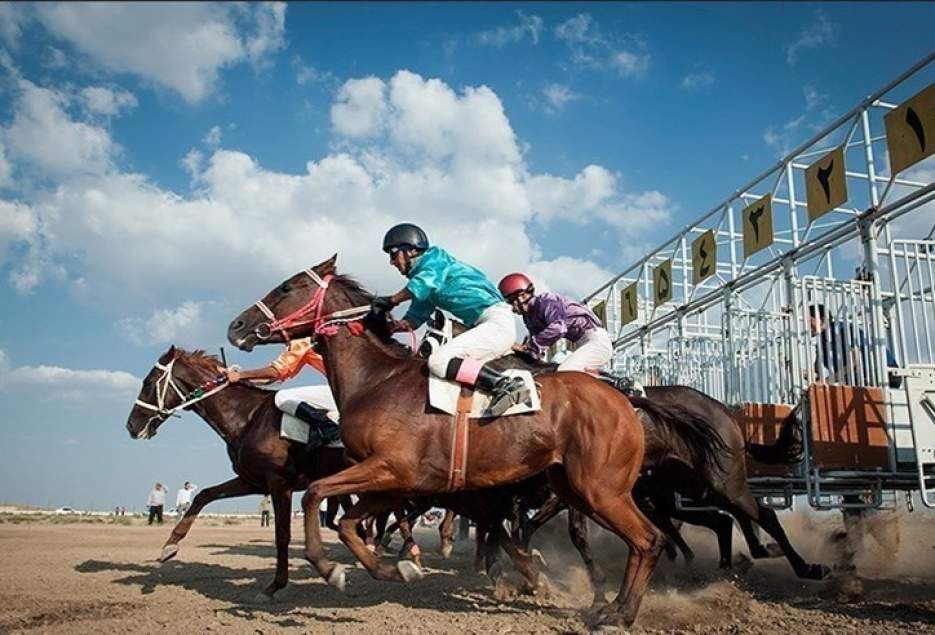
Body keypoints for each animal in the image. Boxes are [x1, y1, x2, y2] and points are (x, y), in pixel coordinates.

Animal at [225, 256, 708, 628]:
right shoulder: (396, 483)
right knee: (638, 541)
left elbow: (316, 497)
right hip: (576, 488)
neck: (377, 381)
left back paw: (620, 614)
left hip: (600, 489)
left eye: (287, 286)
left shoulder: (391, 469)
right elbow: (347, 523)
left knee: (647, 539)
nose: (236, 326)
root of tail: (626, 397)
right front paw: (399, 568)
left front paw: (331, 571)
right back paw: (608, 605)